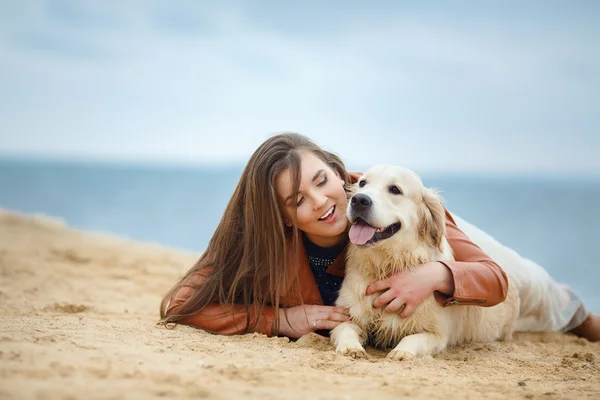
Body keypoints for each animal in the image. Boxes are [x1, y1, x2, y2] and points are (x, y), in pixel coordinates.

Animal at [330, 165, 516, 360]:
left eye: (395, 189)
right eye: (362, 183)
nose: (359, 200)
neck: (386, 264)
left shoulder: (436, 334)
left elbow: (412, 338)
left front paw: (401, 352)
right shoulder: (347, 317)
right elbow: (346, 330)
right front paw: (351, 348)